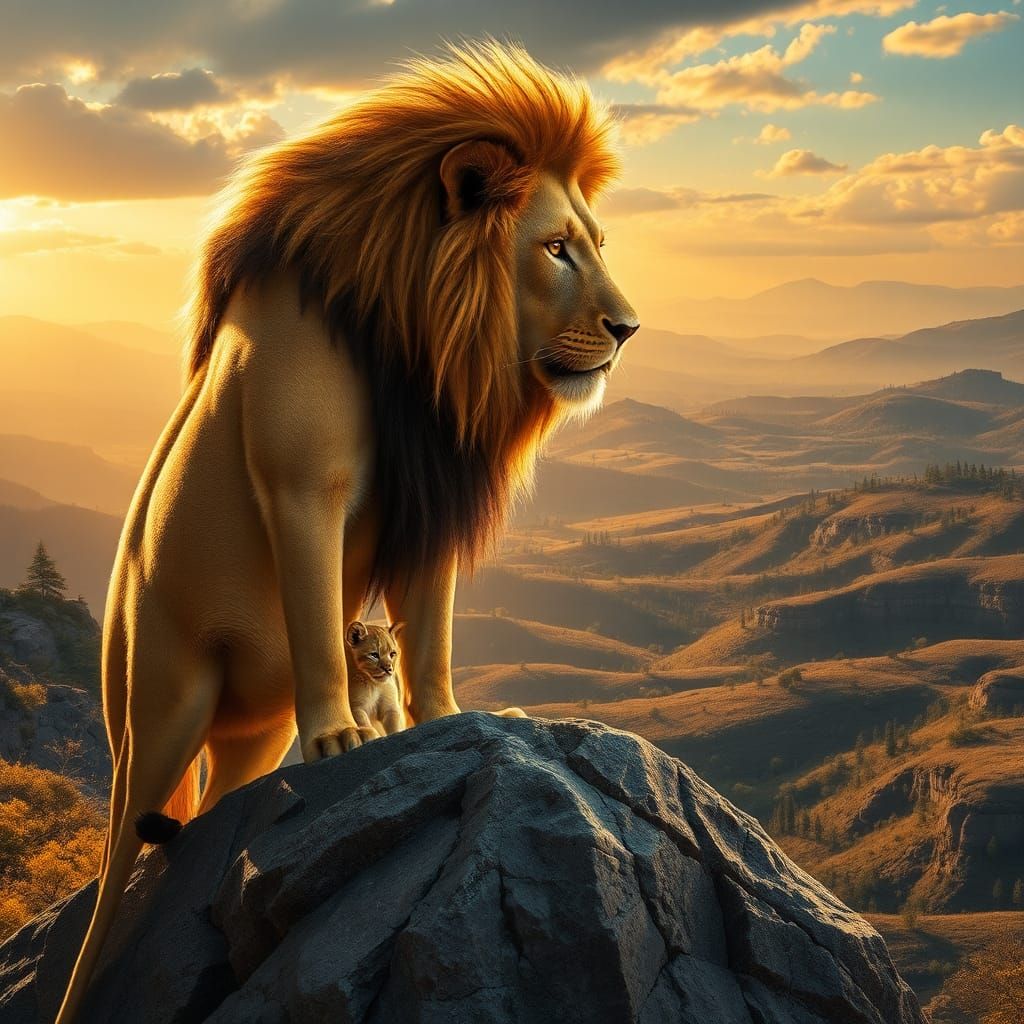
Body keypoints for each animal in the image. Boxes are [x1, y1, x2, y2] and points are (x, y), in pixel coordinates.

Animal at [57, 41, 637, 1022]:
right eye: (555, 247)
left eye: (594, 244)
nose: (629, 328)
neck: (414, 343)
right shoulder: (303, 486)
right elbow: (321, 623)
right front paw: (336, 738)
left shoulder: (431, 500)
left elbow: (430, 636)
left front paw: (449, 715)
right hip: (159, 710)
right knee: (113, 878)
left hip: (245, 733)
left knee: (209, 811)